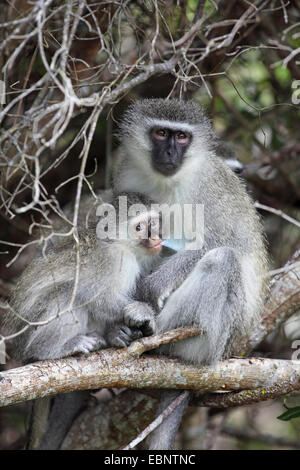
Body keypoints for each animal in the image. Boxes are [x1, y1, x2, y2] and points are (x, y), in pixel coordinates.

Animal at [3, 193, 163, 362]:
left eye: (153, 222)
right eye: (139, 227)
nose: (155, 238)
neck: (124, 245)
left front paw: (123, 331)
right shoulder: (110, 260)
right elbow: (99, 299)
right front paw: (143, 312)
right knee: (68, 293)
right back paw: (50, 349)